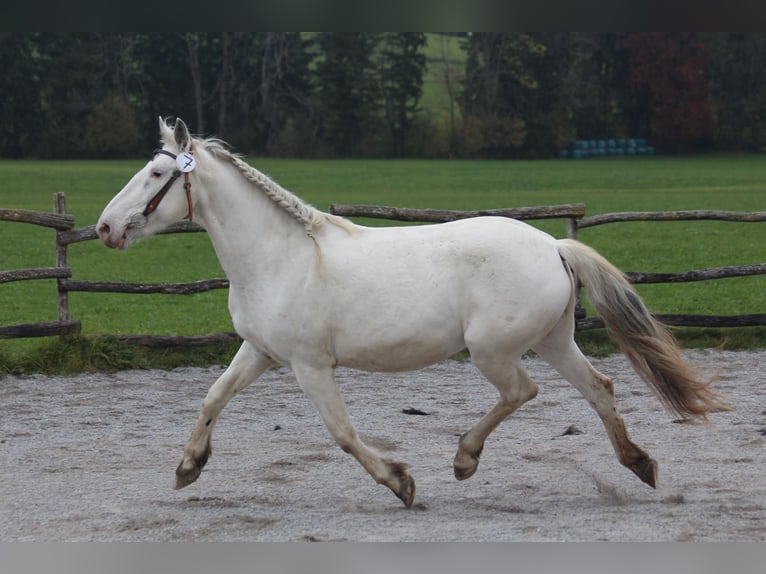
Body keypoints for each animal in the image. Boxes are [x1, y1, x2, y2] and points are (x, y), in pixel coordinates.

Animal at [97, 117, 732, 508]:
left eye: (157, 175)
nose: (104, 227)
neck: (280, 258)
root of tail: (554, 245)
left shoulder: (309, 365)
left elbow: (342, 432)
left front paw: (400, 482)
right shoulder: (260, 352)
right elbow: (212, 398)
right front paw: (187, 469)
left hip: (493, 350)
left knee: (521, 392)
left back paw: (465, 459)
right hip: (552, 340)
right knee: (599, 388)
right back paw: (640, 464)